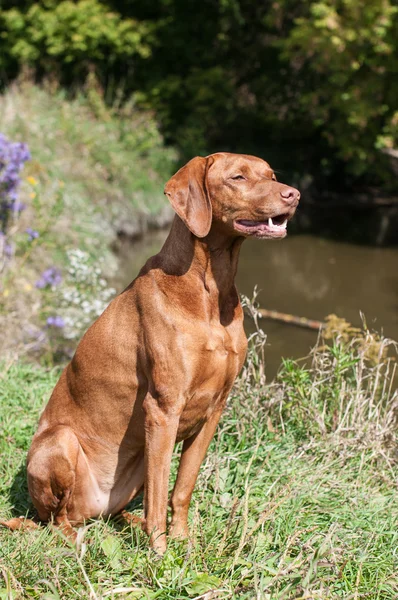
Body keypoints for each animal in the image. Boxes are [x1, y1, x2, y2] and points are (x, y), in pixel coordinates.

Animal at [3, 151, 298, 552]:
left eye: (271, 175)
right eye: (238, 177)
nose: (294, 194)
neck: (208, 291)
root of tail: (92, 510)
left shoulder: (214, 410)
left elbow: (181, 488)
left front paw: (182, 543)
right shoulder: (163, 408)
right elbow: (159, 494)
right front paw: (159, 551)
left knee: (114, 512)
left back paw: (129, 522)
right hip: (61, 444)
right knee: (55, 520)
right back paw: (76, 539)